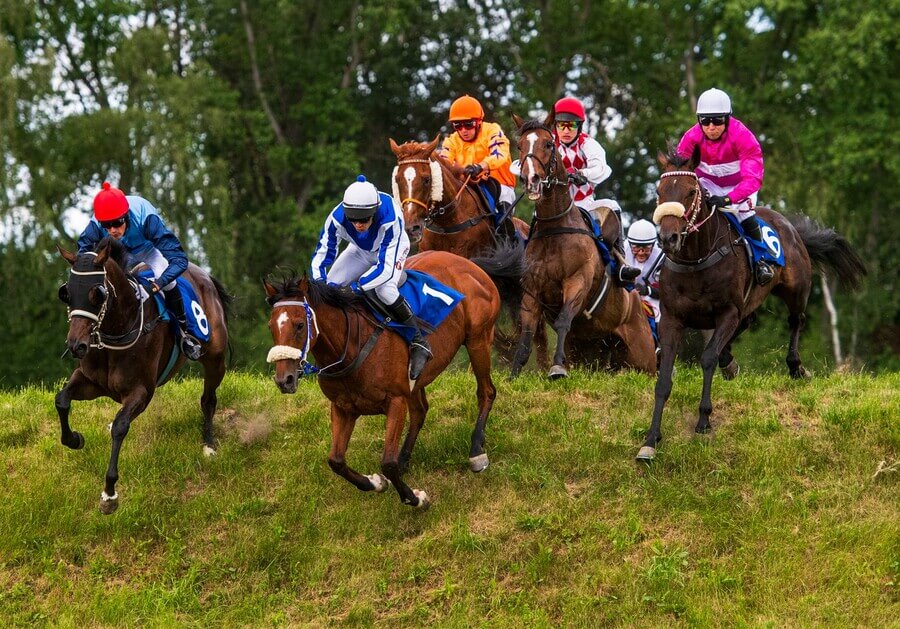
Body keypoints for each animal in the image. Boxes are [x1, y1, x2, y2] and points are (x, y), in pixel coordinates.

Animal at [55, 238, 230, 512]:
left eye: (97, 294)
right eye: (67, 293)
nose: (76, 345)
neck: (116, 330)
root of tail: (205, 275)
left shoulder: (141, 391)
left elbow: (120, 426)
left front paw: (109, 494)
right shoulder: (90, 382)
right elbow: (62, 400)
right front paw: (74, 439)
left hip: (215, 359)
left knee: (208, 400)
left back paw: (209, 445)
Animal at [264, 248, 502, 508]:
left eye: (299, 325)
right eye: (271, 326)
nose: (284, 380)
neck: (350, 347)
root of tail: (469, 264)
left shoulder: (395, 401)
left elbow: (387, 462)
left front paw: (415, 498)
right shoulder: (343, 407)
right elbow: (336, 461)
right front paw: (375, 482)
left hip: (478, 339)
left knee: (486, 392)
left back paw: (476, 451)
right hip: (418, 377)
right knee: (420, 410)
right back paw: (405, 460)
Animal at [510, 113, 656, 378]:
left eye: (549, 144)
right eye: (520, 146)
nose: (531, 180)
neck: (555, 229)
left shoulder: (577, 280)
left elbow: (564, 319)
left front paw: (557, 367)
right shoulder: (532, 290)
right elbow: (526, 336)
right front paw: (513, 374)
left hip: (643, 357)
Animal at [636, 150, 868, 458]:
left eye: (690, 192)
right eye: (659, 192)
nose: (667, 237)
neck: (697, 260)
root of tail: (789, 224)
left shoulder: (726, 312)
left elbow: (707, 358)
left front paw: (704, 420)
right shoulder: (672, 319)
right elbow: (663, 380)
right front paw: (651, 440)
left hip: (795, 289)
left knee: (795, 321)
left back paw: (796, 367)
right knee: (746, 324)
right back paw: (731, 361)